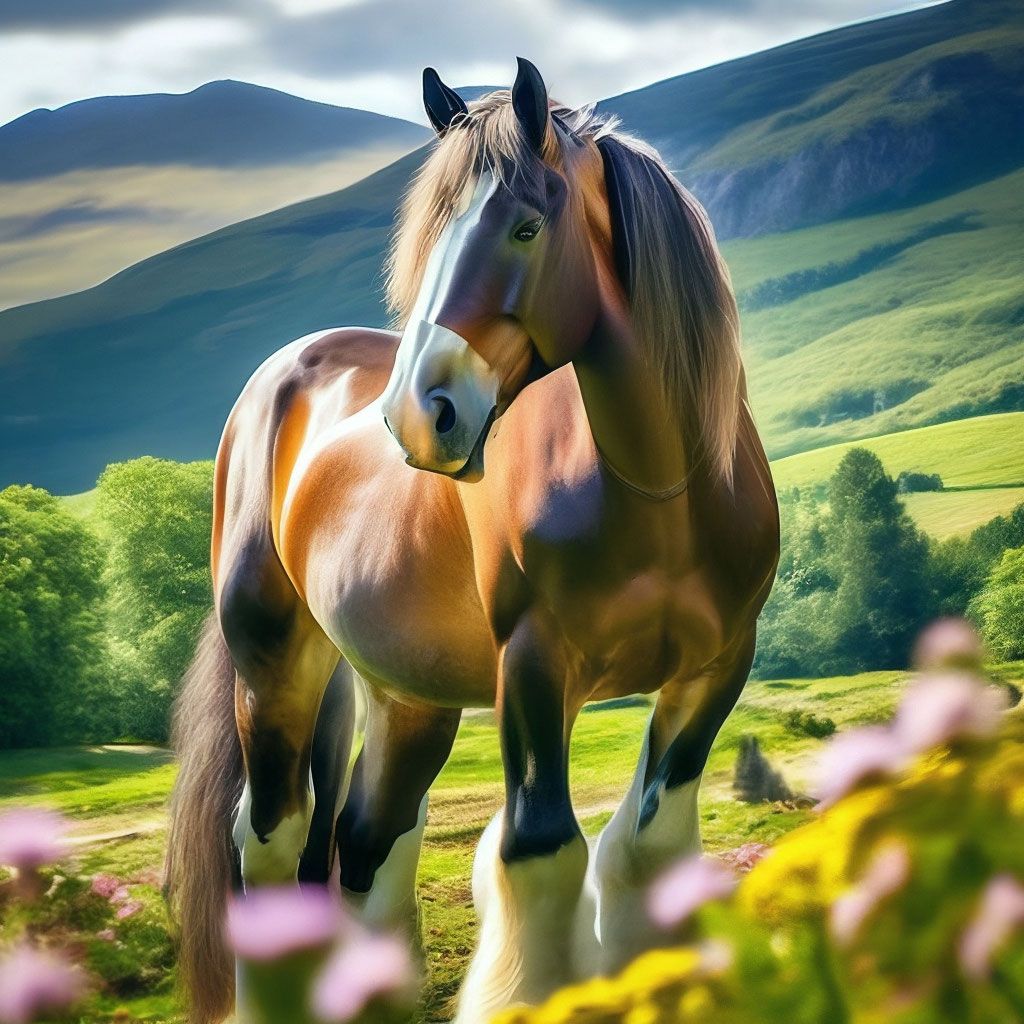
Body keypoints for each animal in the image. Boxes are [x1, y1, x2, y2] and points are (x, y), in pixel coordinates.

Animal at [165, 57, 779, 1024]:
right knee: (271, 839)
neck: (659, 489)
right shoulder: (533, 663)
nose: (419, 416)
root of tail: (280, 373)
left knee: (366, 844)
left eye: (527, 226)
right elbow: (542, 851)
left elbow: (647, 848)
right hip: (272, 665)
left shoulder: (715, 667)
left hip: (407, 697)